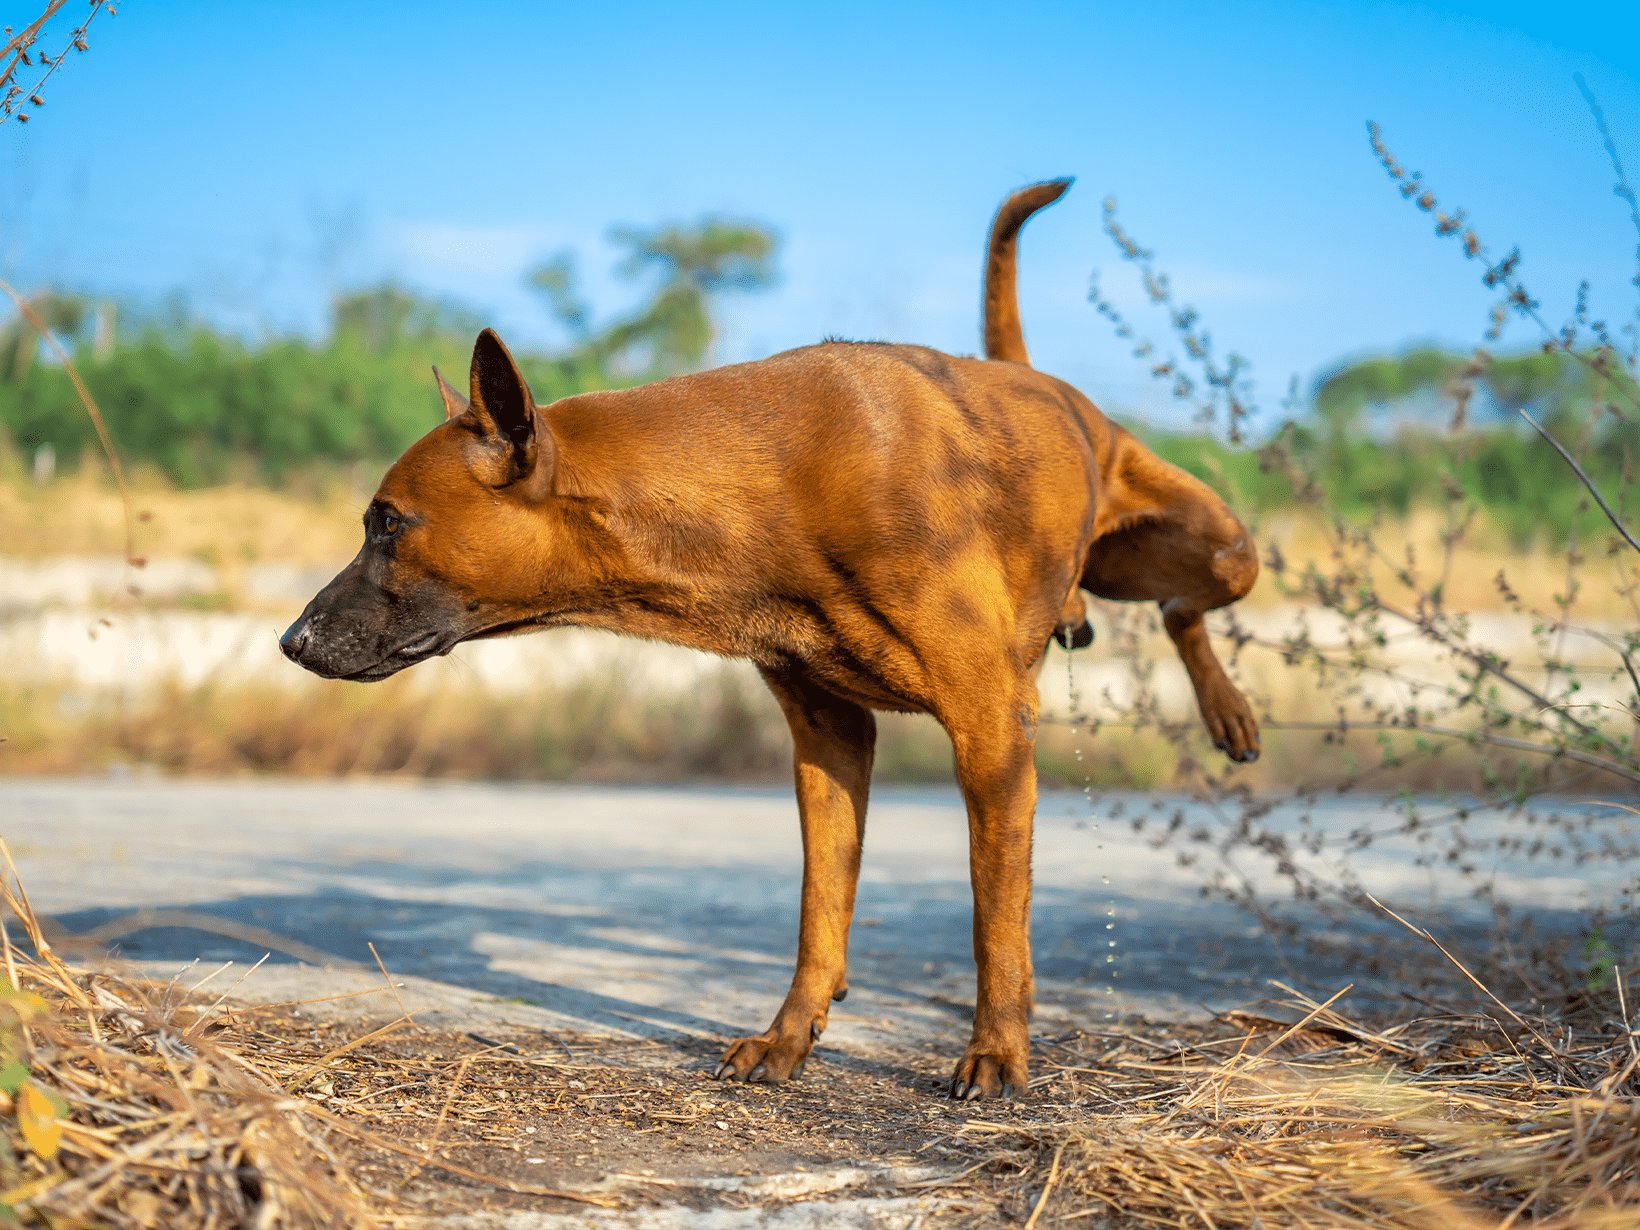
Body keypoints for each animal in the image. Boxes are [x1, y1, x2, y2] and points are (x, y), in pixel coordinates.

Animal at [278, 177, 1252, 1102]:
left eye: (389, 524)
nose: (290, 641)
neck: (774, 484)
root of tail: (1048, 386)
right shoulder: (829, 739)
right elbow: (821, 908)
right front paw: (790, 1036)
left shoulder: (991, 736)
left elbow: (994, 917)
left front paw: (997, 1052)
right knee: (1173, 611)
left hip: (1224, 550)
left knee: (1184, 607)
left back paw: (1227, 709)